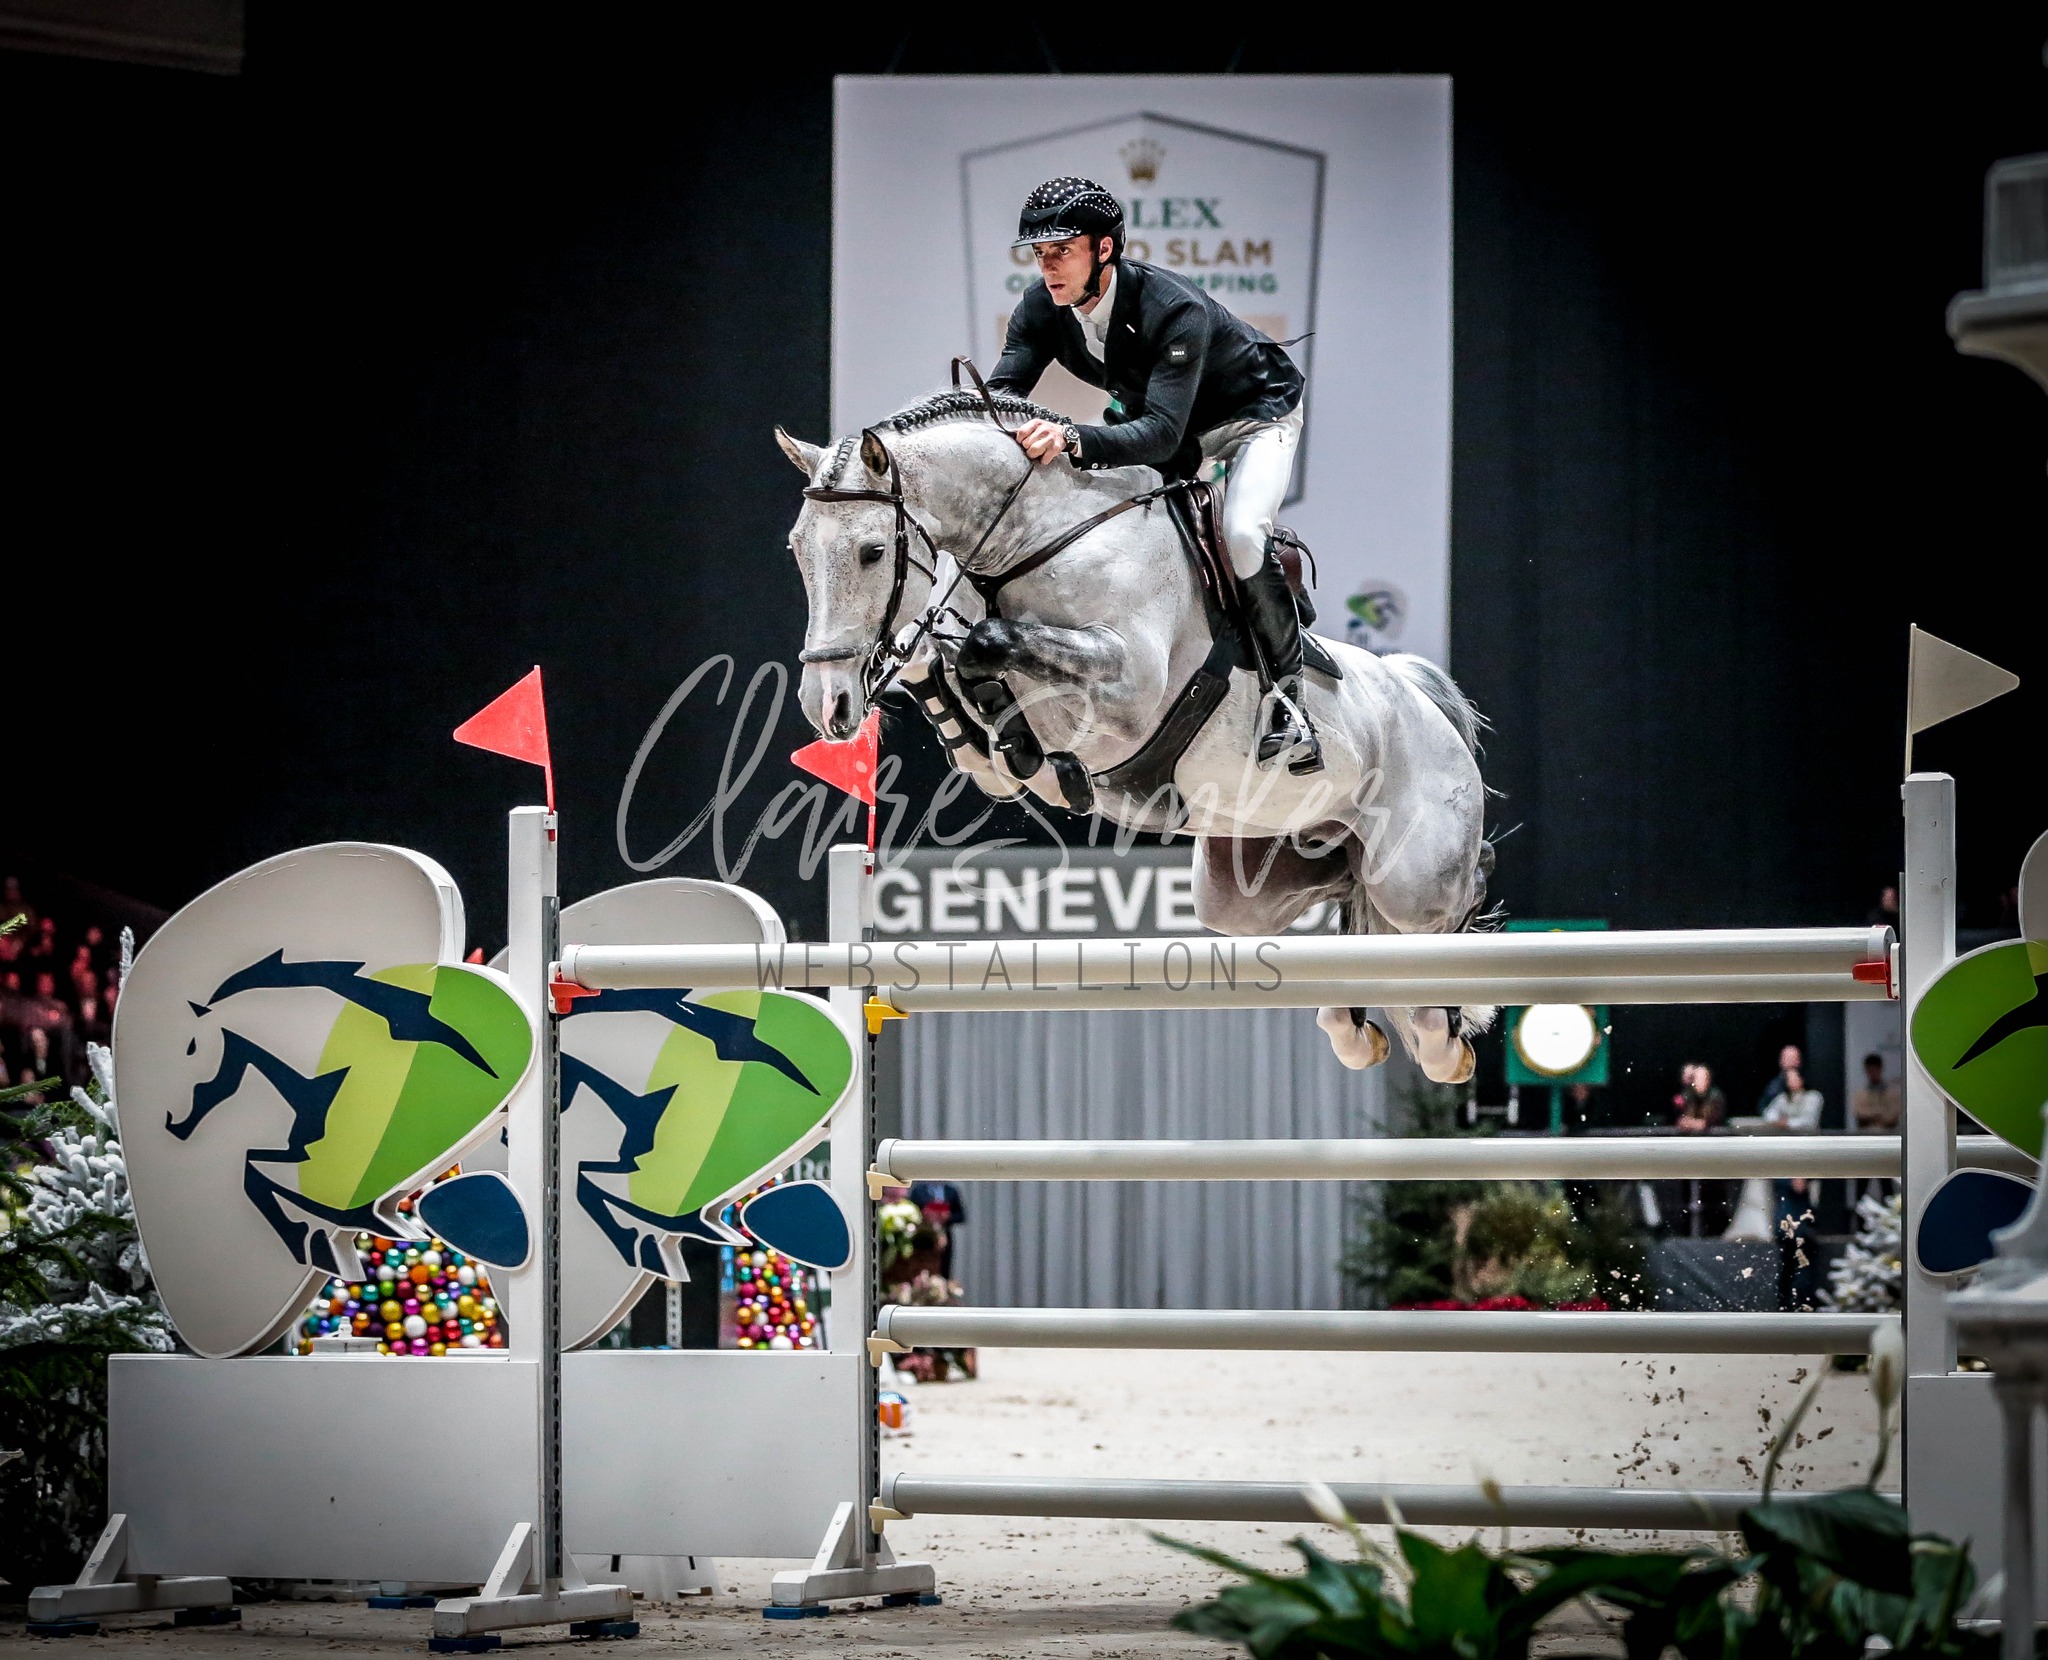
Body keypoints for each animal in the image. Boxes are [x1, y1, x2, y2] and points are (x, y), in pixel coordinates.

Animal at [776, 387, 1495, 1083]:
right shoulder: (1003, 755)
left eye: (872, 552)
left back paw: (1445, 1036)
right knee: (1345, 903)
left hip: (1412, 877)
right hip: (1250, 884)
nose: (827, 705)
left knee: (1445, 911)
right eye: (798, 551)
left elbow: (989, 643)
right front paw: (952, 682)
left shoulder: (1129, 690)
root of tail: (1421, 698)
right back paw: (1354, 1027)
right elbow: (967, 681)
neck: (1042, 539)